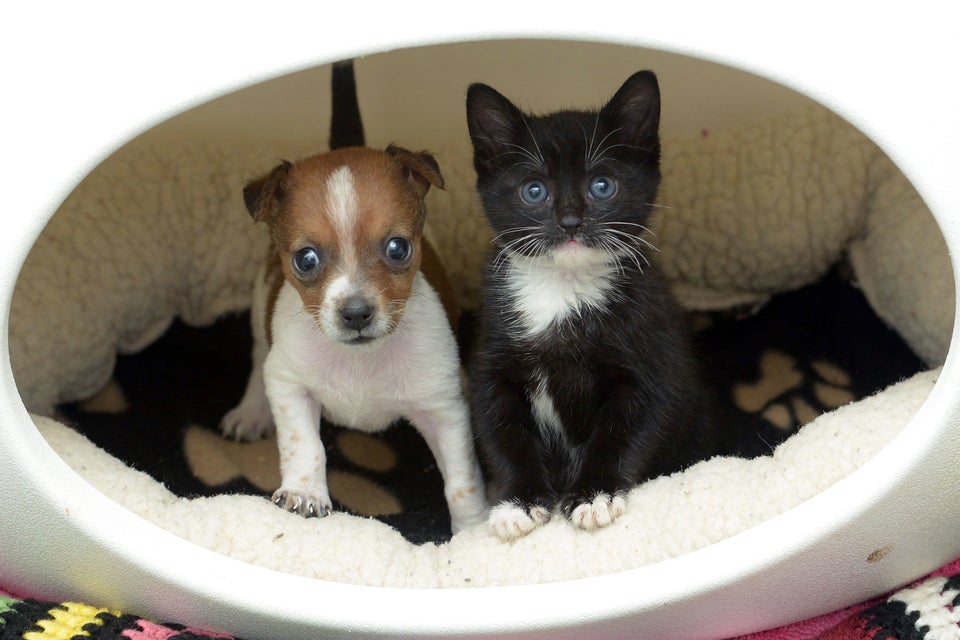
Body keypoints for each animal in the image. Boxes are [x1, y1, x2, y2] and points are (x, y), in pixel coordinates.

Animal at [223, 146, 488, 536]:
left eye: (398, 248)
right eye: (306, 259)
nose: (356, 313)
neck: (362, 359)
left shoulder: (444, 411)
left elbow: (461, 480)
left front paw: (473, 531)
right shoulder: (291, 387)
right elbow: (306, 444)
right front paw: (305, 492)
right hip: (260, 313)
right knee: (258, 359)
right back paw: (250, 412)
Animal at [464, 71, 712, 540]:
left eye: (602, 186)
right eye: (534, 191)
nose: (570, 221)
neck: (562, 290)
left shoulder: (651, 357)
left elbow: (626, 429)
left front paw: (594, 495)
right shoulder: (491, 361)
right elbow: (503, 432)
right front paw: (518, 502)